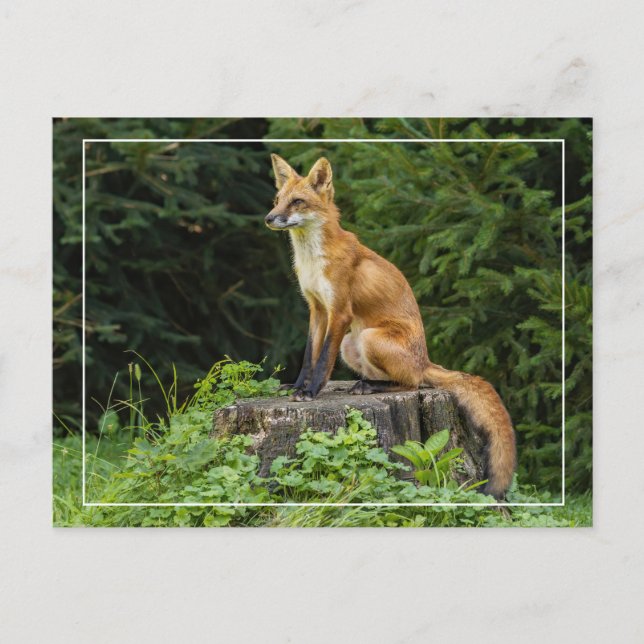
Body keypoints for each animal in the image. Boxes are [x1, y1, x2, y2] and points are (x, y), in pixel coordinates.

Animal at [265, 154, 516, 499]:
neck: (313, 261)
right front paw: (298, 387)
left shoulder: (339, 313)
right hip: (352, 344)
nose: (268, 218)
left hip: (369, 338)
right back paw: (366, 384)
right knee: (394, 378)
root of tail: (426, 360)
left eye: (297, 202)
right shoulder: (316, 310)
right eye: (277, 199)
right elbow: (308, 357)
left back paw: (371, 387)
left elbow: (323, 359)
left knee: (413, 383)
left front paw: (312, 391)